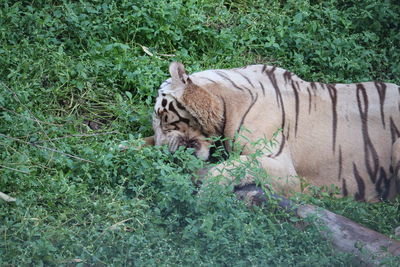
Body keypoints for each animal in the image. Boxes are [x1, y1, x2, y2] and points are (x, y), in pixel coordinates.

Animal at [144, 61, 400, 203]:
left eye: (163, 117)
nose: (164, 153)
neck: (225, 101)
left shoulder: (283, 168)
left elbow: (230, 167)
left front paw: (206, 196)